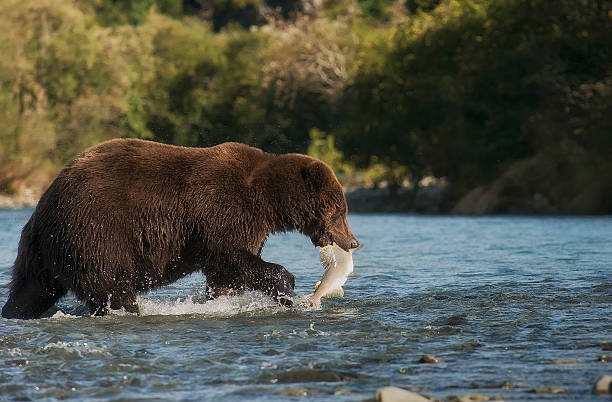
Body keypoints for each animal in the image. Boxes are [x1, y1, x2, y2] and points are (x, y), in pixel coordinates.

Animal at [1, 140, 358, 318]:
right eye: (341, 211)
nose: (353, 241)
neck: (267, 201)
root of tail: (44, 207)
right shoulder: (220, 210)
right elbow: (231, 257)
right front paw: (287, 291)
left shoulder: (242, 223)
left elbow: (227, 274)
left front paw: (221, 300)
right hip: (95, 230)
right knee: (111, 284)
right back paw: (128, 310)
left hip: (43, 251)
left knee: (31, 288)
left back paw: (13, 312)